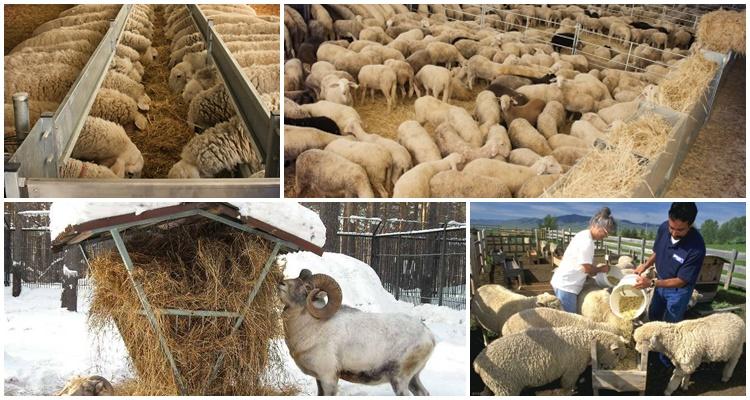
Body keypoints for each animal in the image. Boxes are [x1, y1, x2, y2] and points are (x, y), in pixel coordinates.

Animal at [278, 268, 434, 395]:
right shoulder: (319, 379)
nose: (281, 283)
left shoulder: (328, 379)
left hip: (399, 380)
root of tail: (430, 337)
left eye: (307, 287)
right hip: (413, 379)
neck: (312, 328)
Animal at [473, 327, 628, 395]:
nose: (613, 367)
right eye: (617, 354)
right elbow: (568, 384)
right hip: (505, 387)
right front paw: (571, 391)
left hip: (496, 384)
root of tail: (477, 362)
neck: (587, 342)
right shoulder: (572, 370)